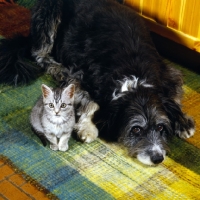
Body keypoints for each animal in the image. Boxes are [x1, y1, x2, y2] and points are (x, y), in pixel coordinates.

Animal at [0, 0, 195, 166]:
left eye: (161, 127)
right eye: (136, 130)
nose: (158, 158)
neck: (134, 77)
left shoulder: (169, 73)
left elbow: (175, 95)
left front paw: (182, 121)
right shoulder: (78, 77)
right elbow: (91, 103)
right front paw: (88, 128)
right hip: (49, 15)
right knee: (39, 54)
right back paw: (57, 68)